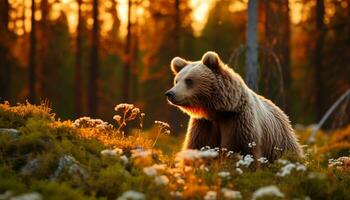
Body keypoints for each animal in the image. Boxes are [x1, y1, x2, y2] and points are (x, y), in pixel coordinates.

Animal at [165, 51, 302, 161]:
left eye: (189, 80)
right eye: (177, 80)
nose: (170, 94)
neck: (217, 110)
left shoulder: (238, 121)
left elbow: (241, 151)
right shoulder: (204, 124)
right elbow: (197, 147)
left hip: (279, 140)